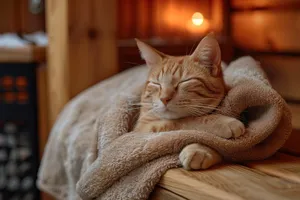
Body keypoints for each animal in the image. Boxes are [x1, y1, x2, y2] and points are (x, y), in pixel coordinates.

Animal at [132, 33, 245, 170]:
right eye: (156, 84)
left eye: (184, 82)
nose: (164, 98)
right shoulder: (142, 129)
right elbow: (186, 121)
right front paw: (223, 122)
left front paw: (199, 150)